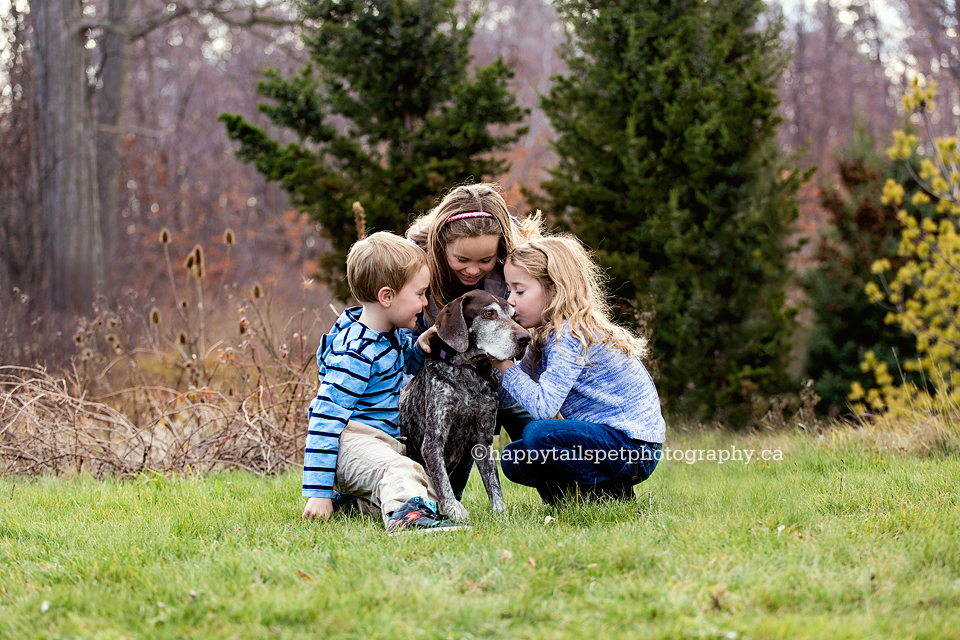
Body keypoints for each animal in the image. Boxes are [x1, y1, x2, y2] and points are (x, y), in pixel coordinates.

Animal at [400, 290, 532, 520]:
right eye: (489, 313)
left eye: (514, 316)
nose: (526, 338)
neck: (466, 371)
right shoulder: (433, 442)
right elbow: (444, 485)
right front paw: (455, 513)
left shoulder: (484, 441)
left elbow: (494, 486)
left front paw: (502, 517)